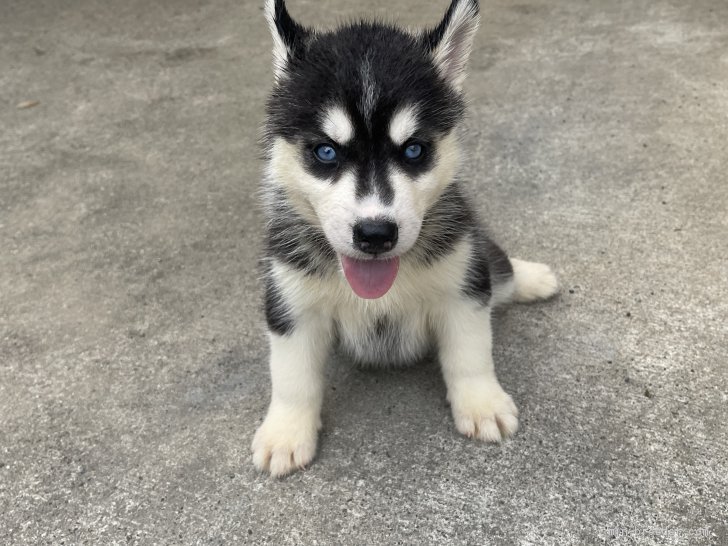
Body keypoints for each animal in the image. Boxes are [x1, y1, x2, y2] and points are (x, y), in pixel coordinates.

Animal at [253, 0, 560, 474]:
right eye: (326, 151)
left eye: (414, 150)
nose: (375, 233)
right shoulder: (290, 301)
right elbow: (291, 376)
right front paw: (286, 431)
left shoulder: (463, 285)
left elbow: (471, 354)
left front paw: (481, 403)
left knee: (499, 270)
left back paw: (533, 278)